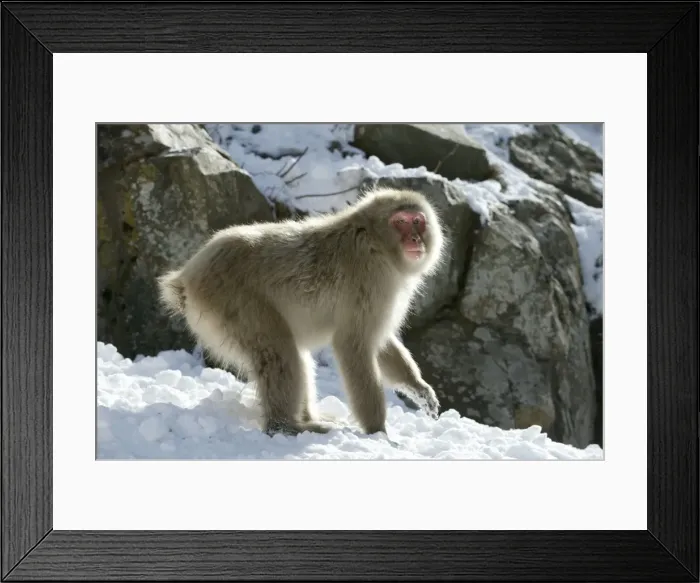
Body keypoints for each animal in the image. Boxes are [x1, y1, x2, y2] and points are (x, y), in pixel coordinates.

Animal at [157, 186, 445, 438]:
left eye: (417, 221)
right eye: (401, 222)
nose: (415, 239)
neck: (376, 240)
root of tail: (189, 275)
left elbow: (380, 342)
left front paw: (419, 388)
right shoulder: (372, 277)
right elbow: (354, 344)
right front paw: (378, 432)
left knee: (294, 354)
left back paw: (305, 419)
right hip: (232, 300)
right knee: (278, 352)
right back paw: (285, 426)